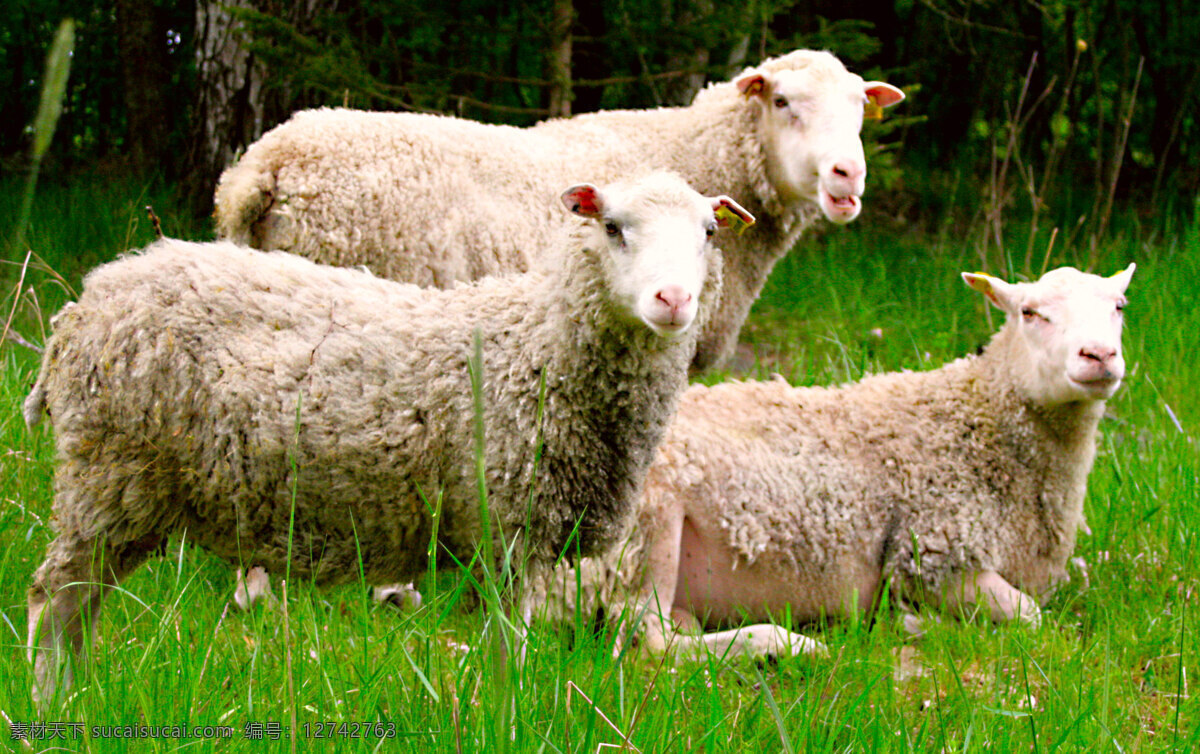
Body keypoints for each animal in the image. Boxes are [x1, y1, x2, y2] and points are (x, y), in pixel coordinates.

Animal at [23, 170, 753, 701]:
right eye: (611, 228)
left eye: (709, 232)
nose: (673, 300)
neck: (534, 343)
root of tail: (87, 301)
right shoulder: (505, 530)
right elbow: (507, 655)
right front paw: (503, 718)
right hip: (109, 475)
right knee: (53, 601)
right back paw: (52, 709)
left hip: (122, 488)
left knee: (80, 609)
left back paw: (80, 701)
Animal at [544, 264, 1132, 657]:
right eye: (1030, 313)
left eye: (1119, 308)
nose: (1100, 356)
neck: (977, 421)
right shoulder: (930, 559)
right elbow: (1033, 617)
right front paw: (916, 624)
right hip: (643, 527)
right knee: (652, 643)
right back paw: (785, 647)